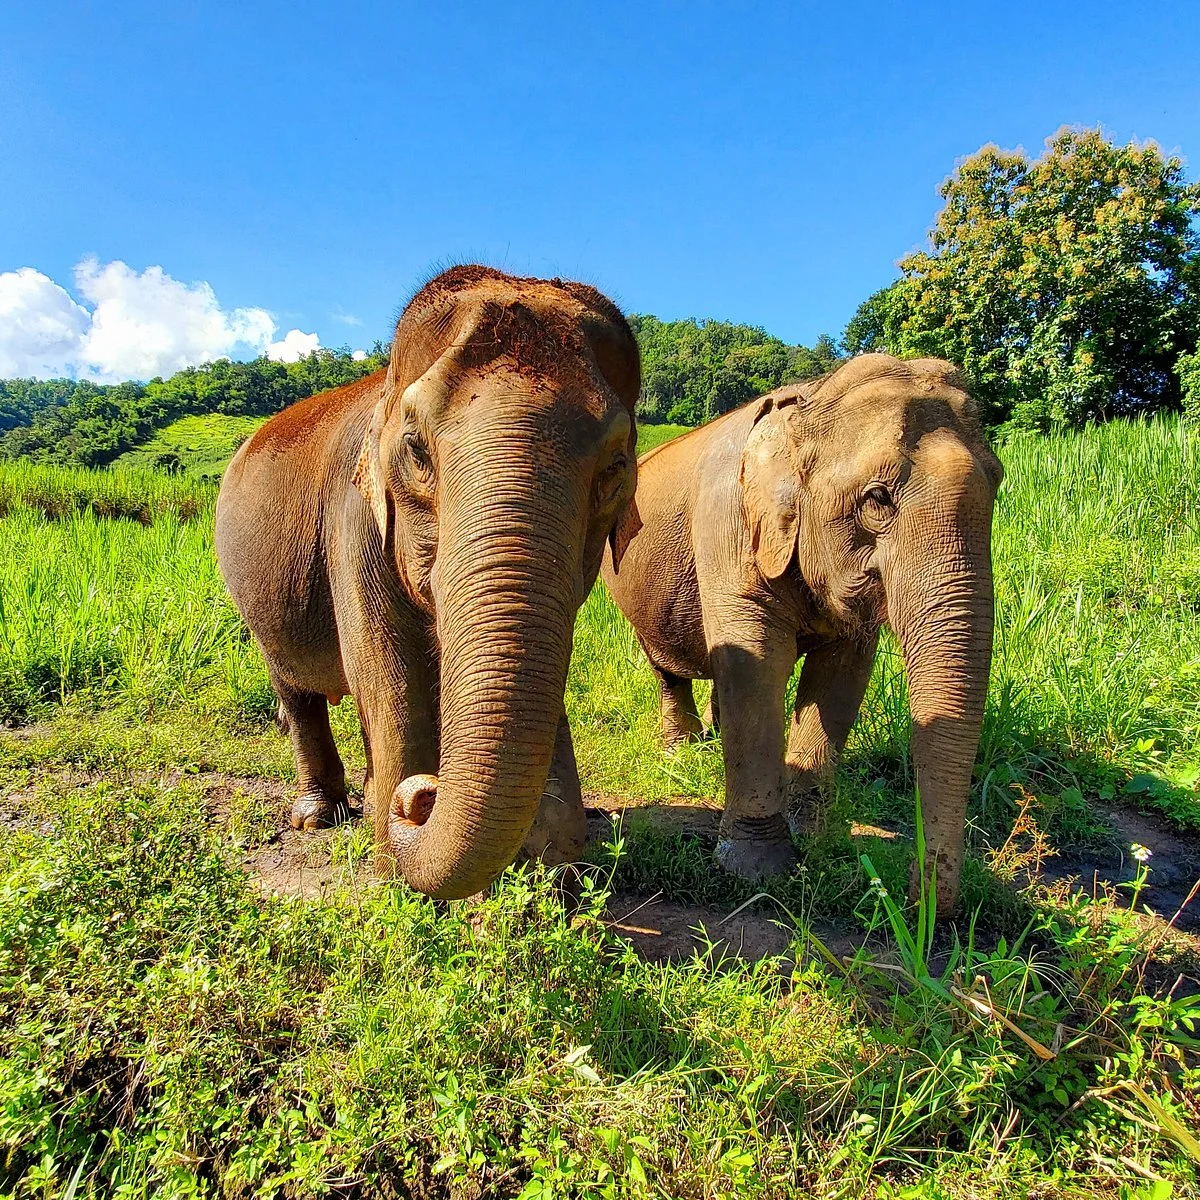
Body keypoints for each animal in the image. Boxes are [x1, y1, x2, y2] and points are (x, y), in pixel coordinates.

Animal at [216, 266, 642, 900]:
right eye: (417, 450)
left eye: (616, 467)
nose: (419, 797)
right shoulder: (354, 522)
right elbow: (392, 675)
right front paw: (396, 875)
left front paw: (554, 870)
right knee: (295, 690)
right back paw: (320, 815)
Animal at [601, 354, 1003, 914]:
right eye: (877, 499)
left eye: (999, 482)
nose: (915, 912)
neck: (810, 399)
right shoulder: (727, 527)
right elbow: (756, 661)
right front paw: (758, 871)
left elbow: (841, 675)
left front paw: (811, 835)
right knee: (666, 667)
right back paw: (681, 751)